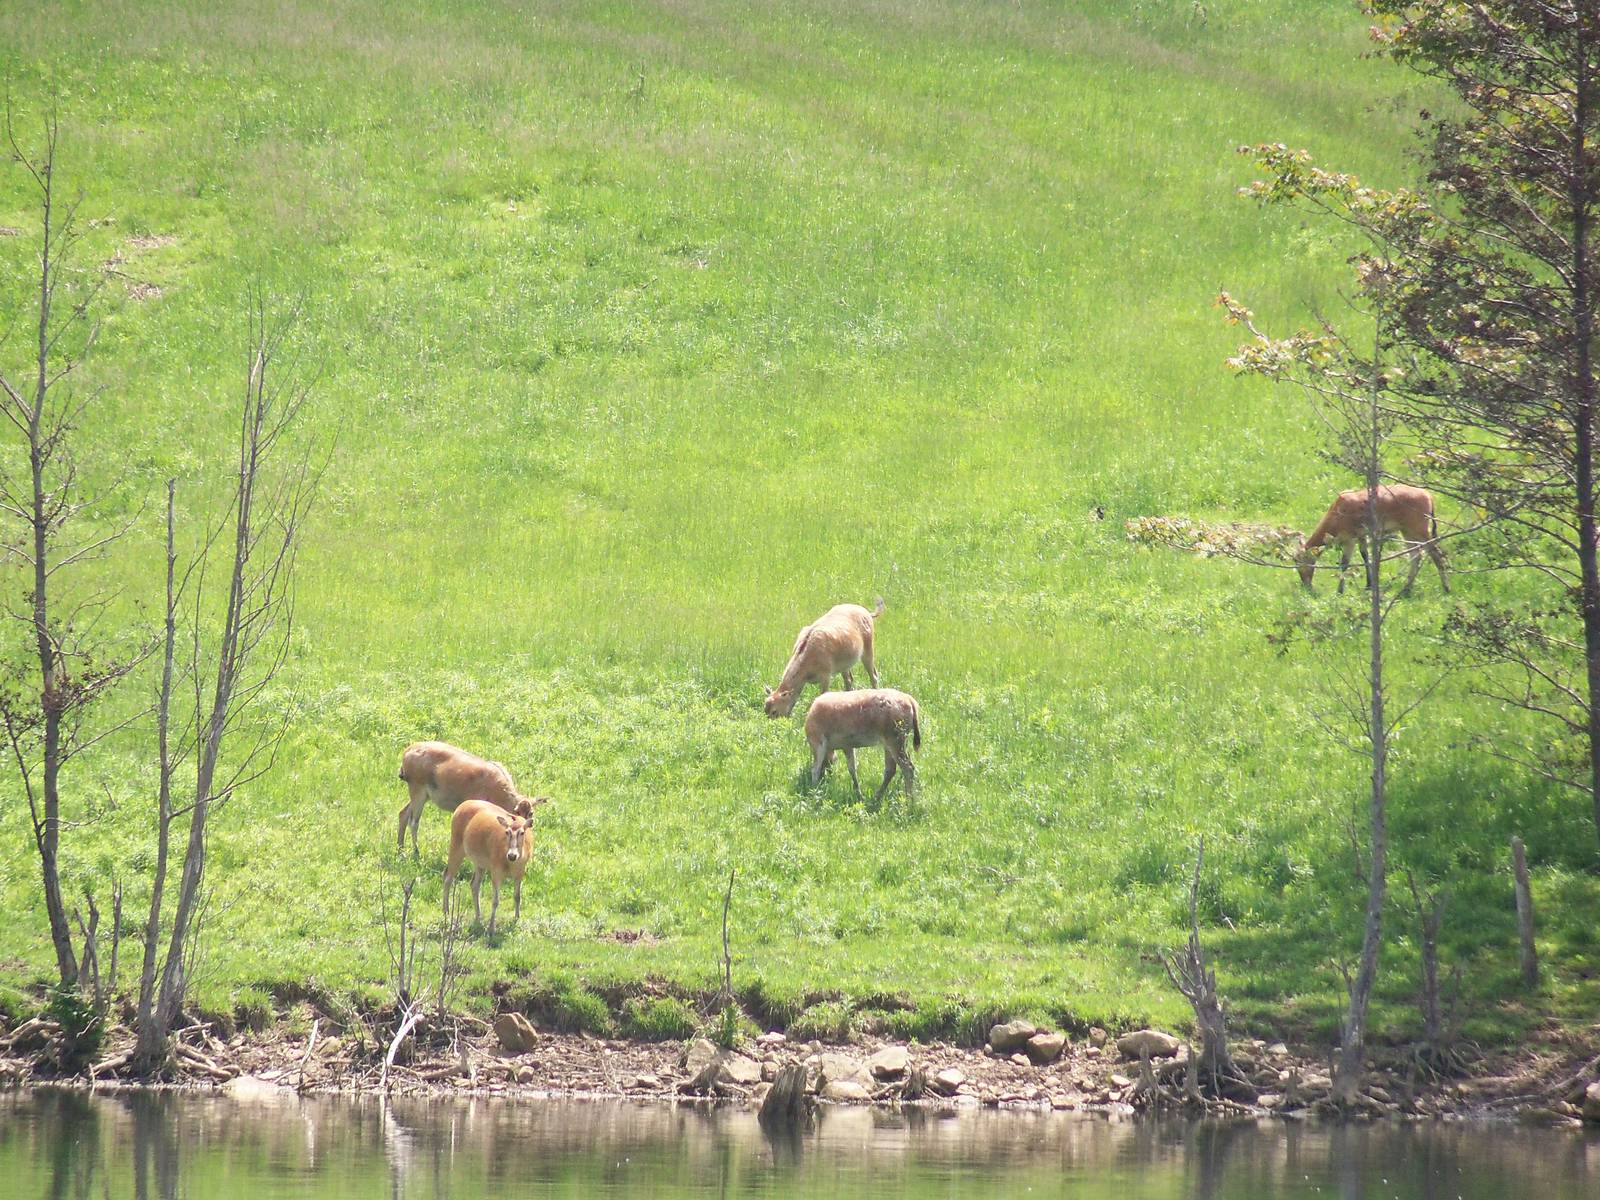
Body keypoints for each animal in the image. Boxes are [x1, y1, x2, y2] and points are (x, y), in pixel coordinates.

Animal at [397, 740, 544, 855]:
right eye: (516, 811)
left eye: (531, 813)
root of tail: (408, 751)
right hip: (418, 791)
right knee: (413, 822)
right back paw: (416, 853)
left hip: (423, 795)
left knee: (403, 813)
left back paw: (400, 849)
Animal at [443, 799, 533, 935]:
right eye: (507, 832)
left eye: (522, 832)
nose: (512, 855)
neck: (511, 864)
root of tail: (461, 805)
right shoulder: (496, 870)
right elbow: (495, 901)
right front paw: (491, 928)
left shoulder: (521, 871)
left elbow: (517, 896)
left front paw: (516, 919)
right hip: (456, 843)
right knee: (448, 877)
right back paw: (446, 912)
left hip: (480, 862)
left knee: (474, 885)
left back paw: (478, 918)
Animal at [1297, 484, 1449, 595]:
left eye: (1300, 562)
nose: (1306, 585)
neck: (1338, 512)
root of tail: (1429, 496)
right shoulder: (1362, 535)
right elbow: (1365, 556)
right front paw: (1369, 585)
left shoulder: (1350, 538)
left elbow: (1344, 563)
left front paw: (1340, 591)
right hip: (1407, 531)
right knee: (1416, 556)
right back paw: (1406, 590)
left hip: (1419, 529)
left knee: (1436, 553)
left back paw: (1446, 588)